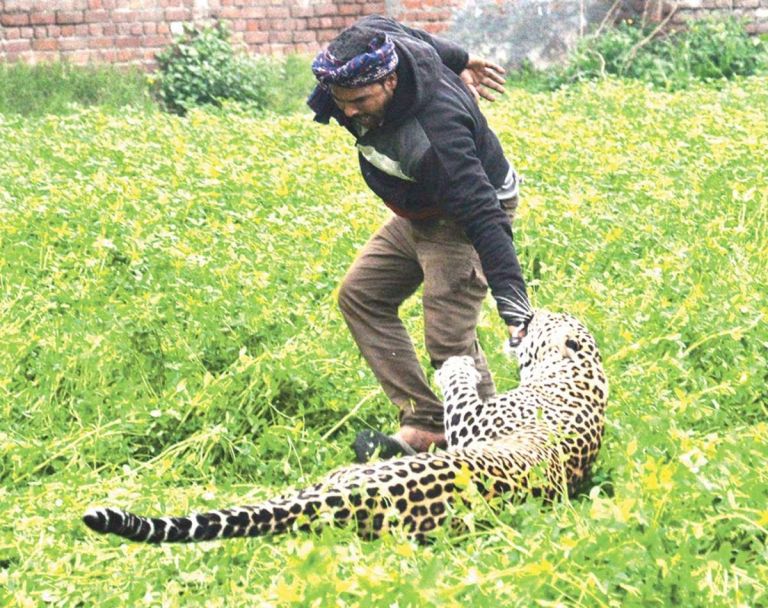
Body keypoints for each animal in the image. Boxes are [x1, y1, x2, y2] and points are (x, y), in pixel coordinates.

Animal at [83, 308, 608, 543]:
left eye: (550, 319)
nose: (530, 311)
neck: (580, 375)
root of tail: (359, 498)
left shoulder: (475, 424)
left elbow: (461, 393)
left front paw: (454, 364)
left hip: (336, 478)